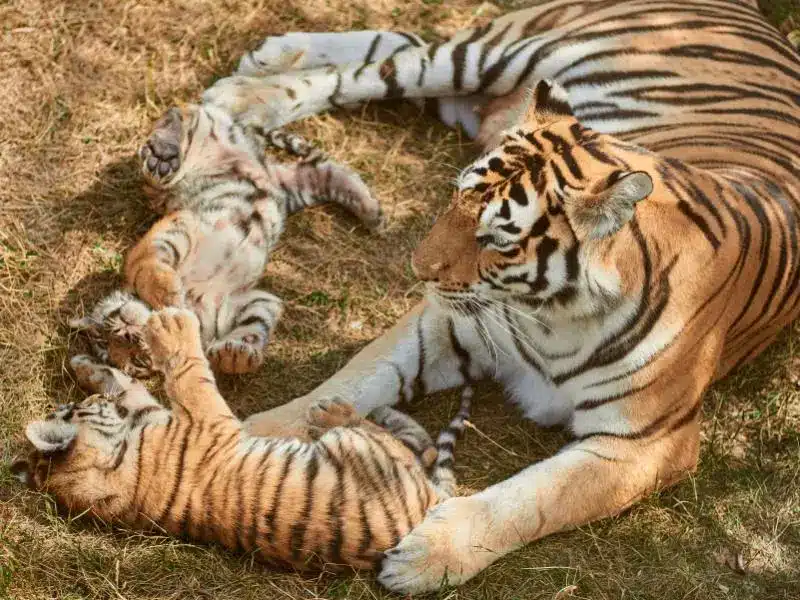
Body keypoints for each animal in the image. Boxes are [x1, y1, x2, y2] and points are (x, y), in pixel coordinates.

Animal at [12, 308, 471, 571]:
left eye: (74, 403)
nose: (88, 398)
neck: (119, 461)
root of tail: (431, 502)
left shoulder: (151, 414)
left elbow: (129, 386)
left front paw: (85, 366)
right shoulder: (206, 418)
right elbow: (190, 372)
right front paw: (172, 325)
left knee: (425, 446)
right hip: (363, 452)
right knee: (407, 445)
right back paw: (335, 413)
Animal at [70, 104, 383, 376]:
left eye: (113, 323)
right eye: (135, 360)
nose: (129, 334)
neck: (193, 302)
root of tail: (257, 160)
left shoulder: (183, 224)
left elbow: (142, 264)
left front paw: (168, 294)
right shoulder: (253, 300)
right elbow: (256, 325)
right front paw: (234, 356)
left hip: (204, 137)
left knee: (182, 114)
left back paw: (163, 152)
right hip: (295, 189)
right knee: (326, 172)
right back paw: (374, 213)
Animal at [192, 0, 800, 592]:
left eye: (496, 239)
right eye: (456, 197)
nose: (417, 269)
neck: (557, 315)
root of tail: (753, 15)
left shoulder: (643, 443)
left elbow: (536, 499)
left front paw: (428, 556)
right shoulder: (443, 324)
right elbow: (352, 379)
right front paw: (252, 435)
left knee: (397, 47)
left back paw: (264, 62)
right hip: (497, 55)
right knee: (375, 68)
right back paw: (242, 93)